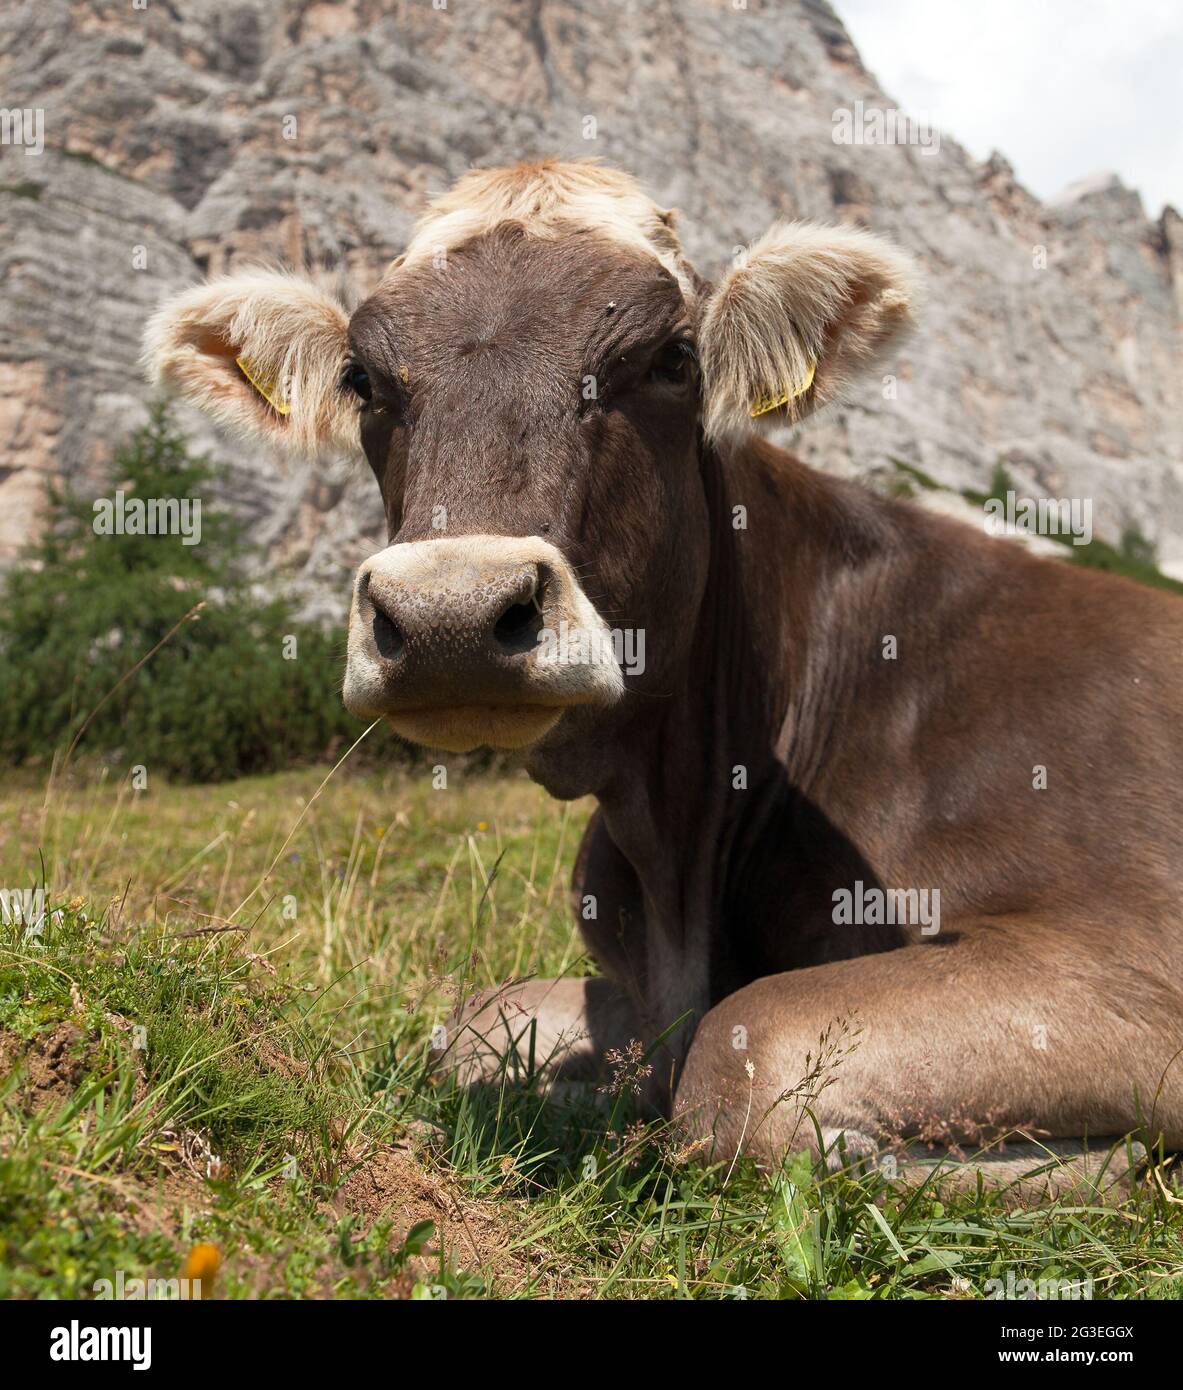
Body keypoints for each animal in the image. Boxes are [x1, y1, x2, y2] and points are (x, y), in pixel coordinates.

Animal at [145, 159, 1183, 1184]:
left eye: (673, 360)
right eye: (362, 380)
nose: (451, 616)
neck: (677, 843)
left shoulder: (1123, 953)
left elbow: (742, 1054)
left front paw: (1093, 1163)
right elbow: (479, 1024)